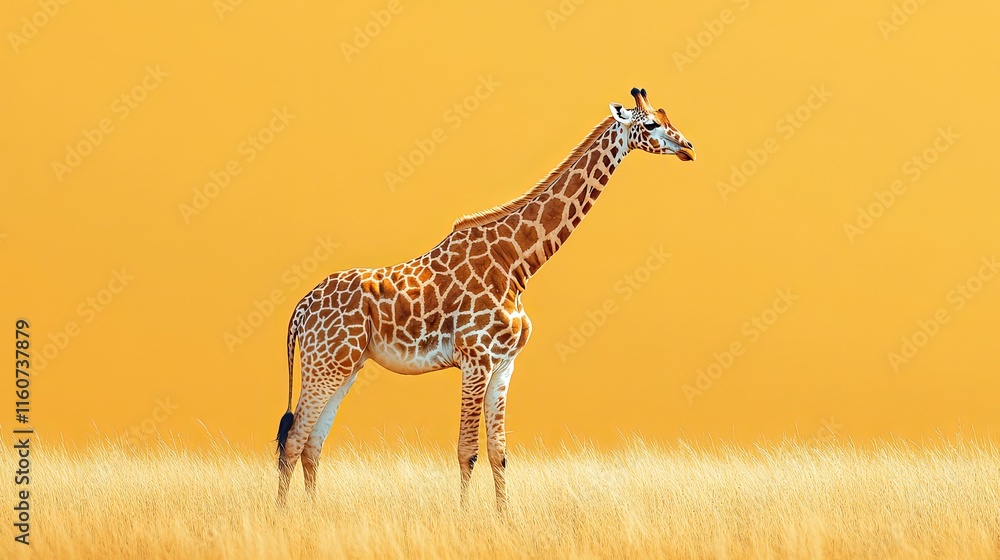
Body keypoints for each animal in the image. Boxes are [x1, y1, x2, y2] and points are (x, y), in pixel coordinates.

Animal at [275, 87, 696, 510]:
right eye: (651, 124)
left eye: (667, 115)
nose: (688, 148)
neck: (516, 263)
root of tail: (300, 310)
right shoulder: (476, 360)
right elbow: (467, 451)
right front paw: (465, 517)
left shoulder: (504, 364)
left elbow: (499, 452)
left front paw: (504, 517)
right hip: (325, 364)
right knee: (293, 440)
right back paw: (284, 517)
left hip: (345, 366)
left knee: (312, 444)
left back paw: (312, 513)